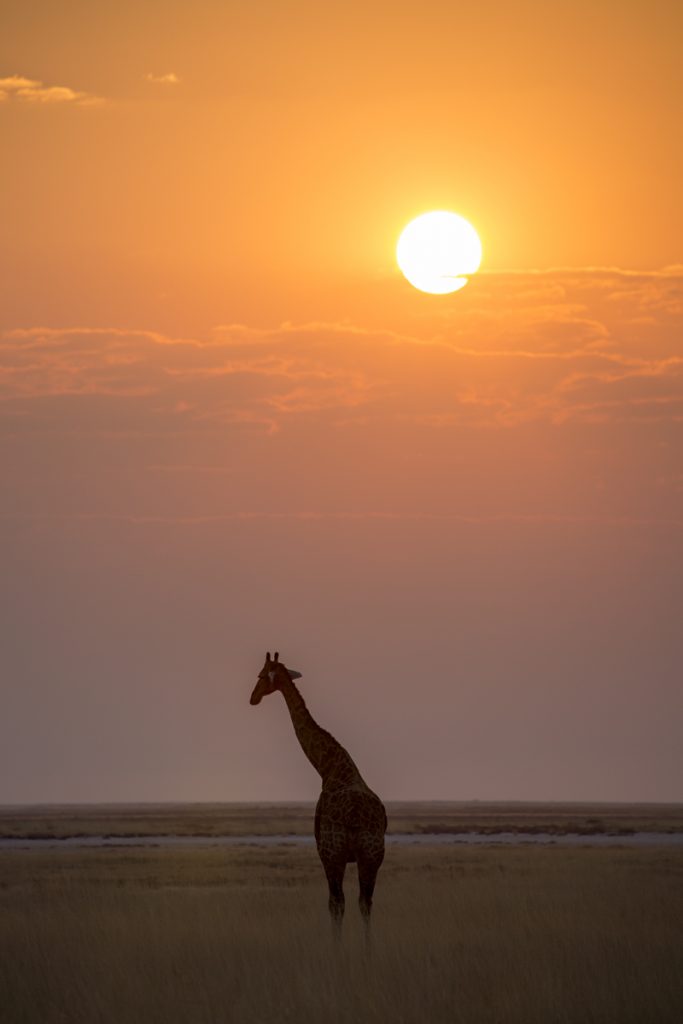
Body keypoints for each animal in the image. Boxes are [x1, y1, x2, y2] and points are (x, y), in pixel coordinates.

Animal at [250, 651, 389, 933]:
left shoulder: (325, 853)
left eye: (260, 675)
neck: (328, 768)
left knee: (338, 902)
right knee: (365, 902)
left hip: (336, 854)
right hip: (372, 855)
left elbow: (334, 904)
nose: (252, 698)